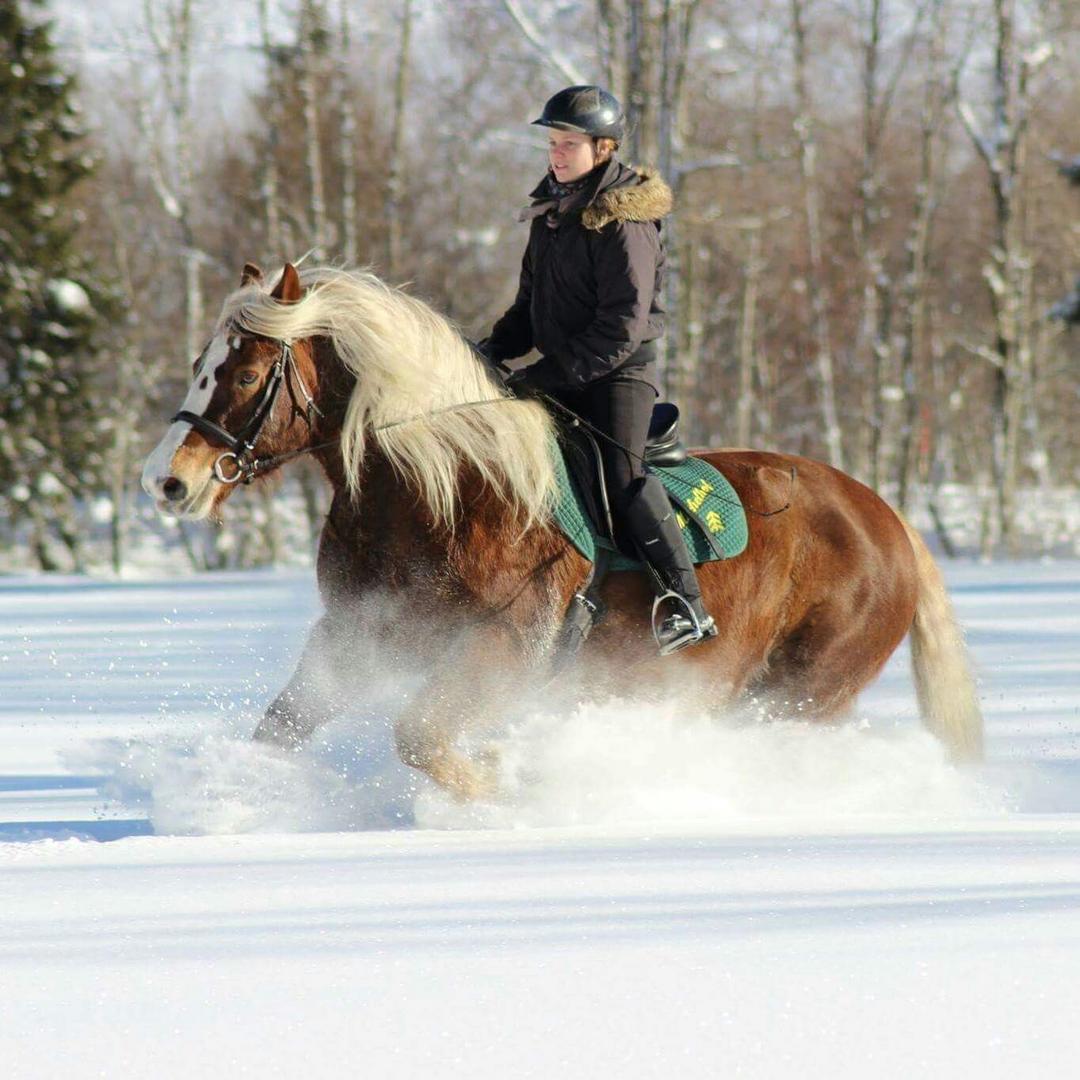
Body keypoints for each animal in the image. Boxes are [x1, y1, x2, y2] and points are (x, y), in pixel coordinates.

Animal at [139, 261, 984, 803]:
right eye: (201, 362)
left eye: (248, 374)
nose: (168, 480)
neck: (443, 490)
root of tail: (884, 517)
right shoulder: (355, 637)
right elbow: (279, 728)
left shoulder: (502, 647)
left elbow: (422, 739)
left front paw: (501, 781)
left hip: (801, 692)